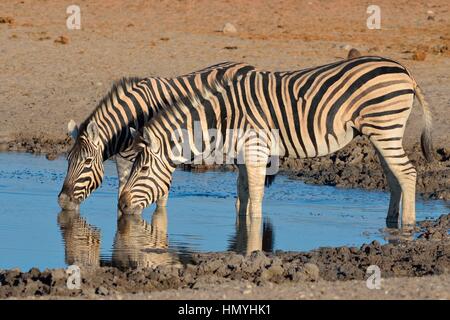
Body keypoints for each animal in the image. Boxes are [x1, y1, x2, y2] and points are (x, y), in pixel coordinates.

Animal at [56, 62, 255, 212]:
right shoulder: (123, 161)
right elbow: (123, 193)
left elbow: (159, 197)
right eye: (68, 160)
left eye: (88, 161)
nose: (63, 201)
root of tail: (247, 65)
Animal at [118, 55, 432, 230]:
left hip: (385, 127)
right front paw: (242, 230)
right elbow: (243, 194)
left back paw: (407, 226)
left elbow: (255, 197)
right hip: (381, 133)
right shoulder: (244, 153)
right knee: (394, 176)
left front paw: (253, 234)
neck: (223, 116)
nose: (120, 205)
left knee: (408, 173)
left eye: (142, 170)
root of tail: (404, 71)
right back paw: (391, 222)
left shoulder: (255, 149)